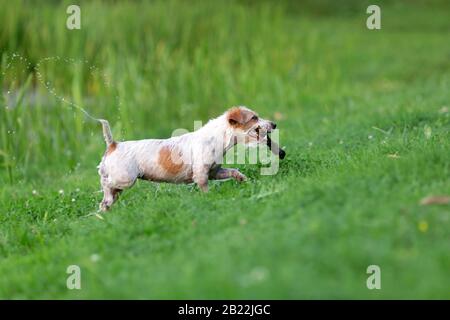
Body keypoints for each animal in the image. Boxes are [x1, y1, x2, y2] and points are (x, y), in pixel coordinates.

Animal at [97, 106, 284, 211]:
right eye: (254, 118)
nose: (274, 124)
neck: (218, 137)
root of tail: (113, 145)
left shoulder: (214, 171)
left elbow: (233, 171)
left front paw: (243, 180)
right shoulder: (201, 173)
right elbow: (204, 187)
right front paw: (208, 198)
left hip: (121, 185)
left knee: (108, 197)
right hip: (125, 179)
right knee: (106, 184)